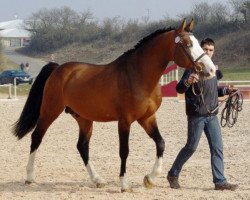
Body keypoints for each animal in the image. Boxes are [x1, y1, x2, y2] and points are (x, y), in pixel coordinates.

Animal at [12, 19, 216, 192]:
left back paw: (97, 180)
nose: (211, 70)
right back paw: (30, 177)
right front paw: (124, 184)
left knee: (82, 146)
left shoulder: (147, 118)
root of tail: (58, 68)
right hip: (49, 112)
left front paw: (150, 179)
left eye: (198, 44)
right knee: (36, 137)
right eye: (188, 44)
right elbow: (124, 151)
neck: (138, 75)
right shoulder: (124, 121)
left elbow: (161, 143)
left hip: (84, 119)